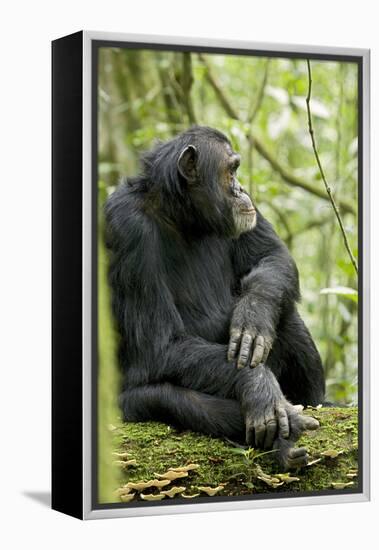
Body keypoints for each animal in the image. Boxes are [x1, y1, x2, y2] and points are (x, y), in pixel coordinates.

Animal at [105, 126, 326, 470]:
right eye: (231, 170)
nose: (241, 188)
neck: (182, 215)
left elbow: (271, 255)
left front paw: (253, 316)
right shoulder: (126, 227)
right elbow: (160, 345)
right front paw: (257, 384)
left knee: (285, 310)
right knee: (169, 398)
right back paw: (285, 435)